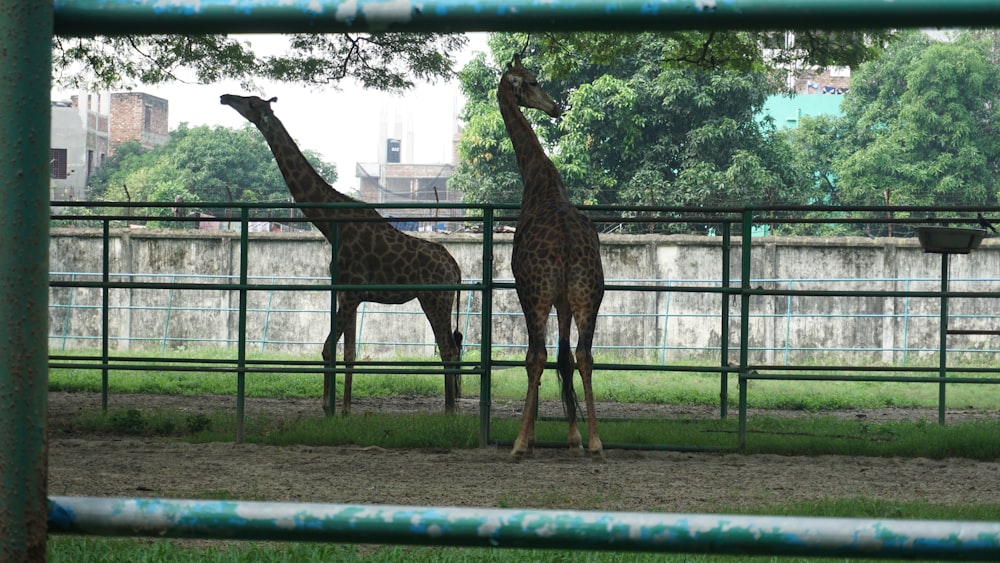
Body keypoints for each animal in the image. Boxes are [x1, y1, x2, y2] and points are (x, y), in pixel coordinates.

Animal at [221, 94, 462, 416]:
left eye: (250, 102)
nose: (225, 97)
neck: (329, 223)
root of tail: (456, 268)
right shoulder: (350, 294)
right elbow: (348, 353)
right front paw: (346, 409)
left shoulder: (349, 292)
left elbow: (327, 349)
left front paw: (327, 407)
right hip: (438, 300)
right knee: (452, 347)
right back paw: (452, 406)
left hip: (435, 299)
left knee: (447, 348)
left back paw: (449, 411)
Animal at [500, 57, 608, 462]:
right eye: (532, 82)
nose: (555, 107)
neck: (538, 181)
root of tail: (567, 247)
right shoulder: (564, 299)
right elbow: (566, 358)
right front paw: (574, 438)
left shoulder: (528, 290)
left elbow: (538, 357)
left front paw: (530, 438)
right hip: (589, 294)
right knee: (584, 355)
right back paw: (596, 443)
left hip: (536, 293)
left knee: (537, 356)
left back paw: (517, 445)